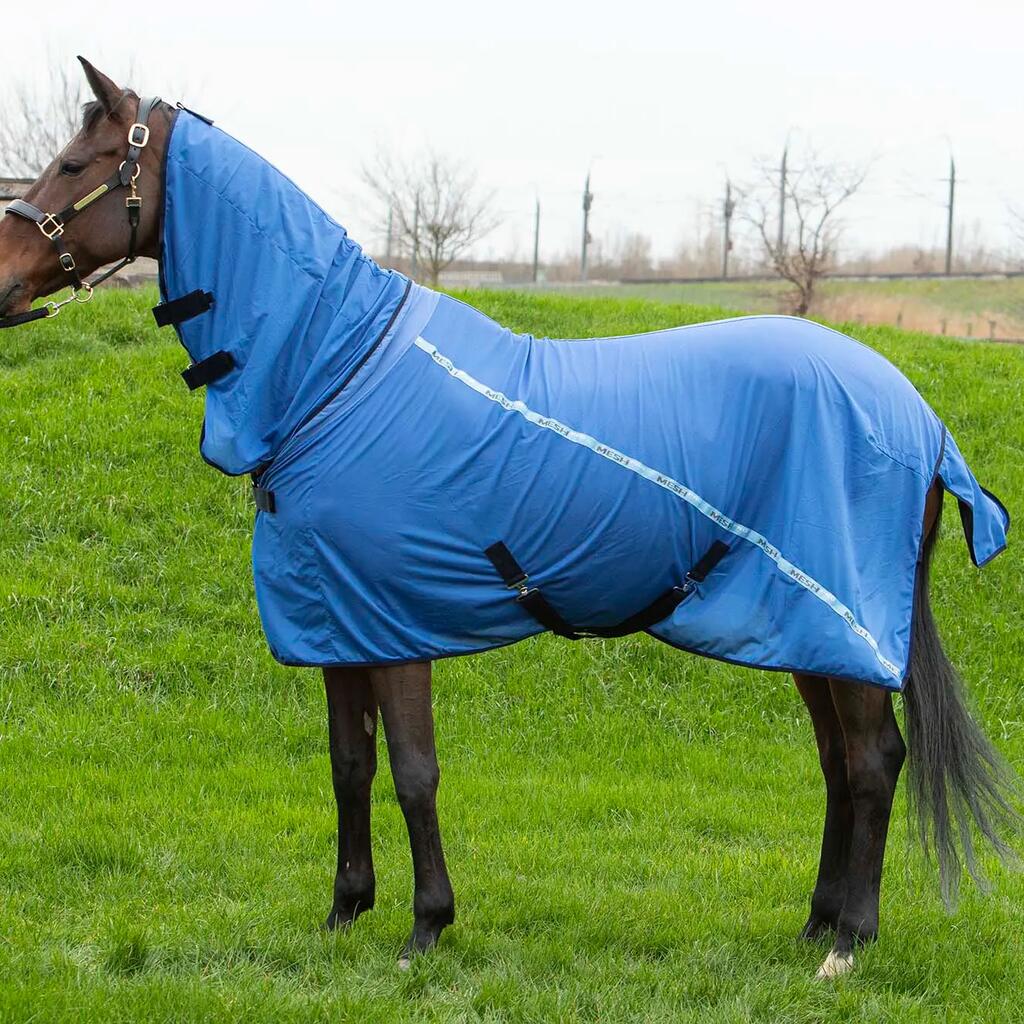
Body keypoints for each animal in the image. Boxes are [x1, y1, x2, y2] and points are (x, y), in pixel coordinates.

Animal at [0, 59, 1016, 979]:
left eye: (74, 162)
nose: (4, 280)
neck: (336, 369)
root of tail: (920, 420)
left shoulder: (392, 623)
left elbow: (414, 771)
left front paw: (424, 931)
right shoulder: (336, 622)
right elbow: (348, 763)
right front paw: (343, 915)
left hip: (840, 621)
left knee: (874, 760)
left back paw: (848, 944)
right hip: (803, 630)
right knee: (839, 763)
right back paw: (815, 926)